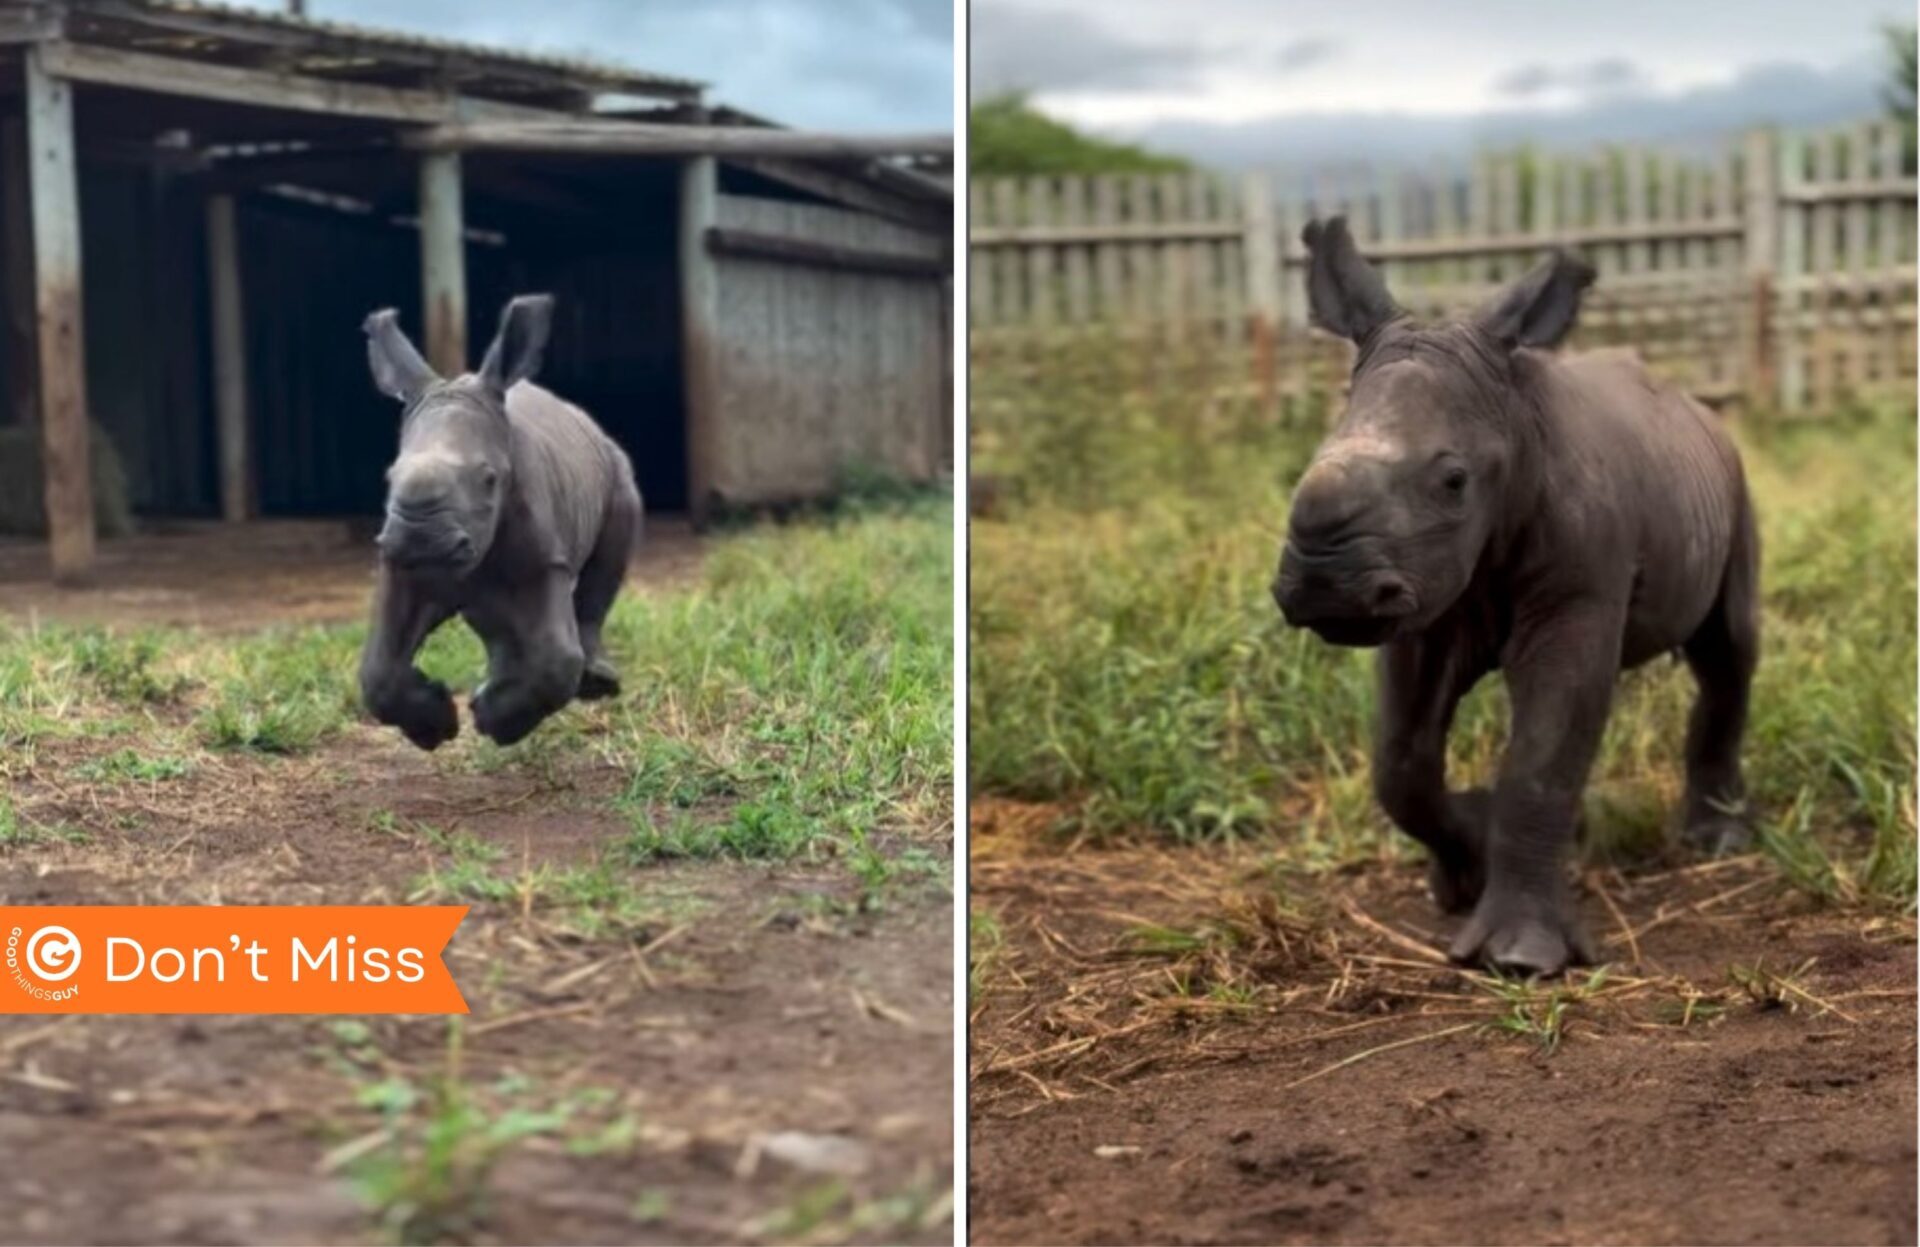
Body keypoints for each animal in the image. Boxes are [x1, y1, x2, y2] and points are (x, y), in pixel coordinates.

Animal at [357, 294, 643, 750]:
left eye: (490, 479)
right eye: (389, 477)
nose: (422, 540)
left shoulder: (546, 559)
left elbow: (555, 661)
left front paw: (495, 724)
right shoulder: (399, 567)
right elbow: (378, 672)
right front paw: (434, 728)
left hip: (616, 470)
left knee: (605, 567)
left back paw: (594, 684)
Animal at [1272, 218, 1759, 976]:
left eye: (1453, 481)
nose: (1327, 587)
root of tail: (1697, 406)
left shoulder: (1576, 598)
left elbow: (1540, 761)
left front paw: (1521, 959)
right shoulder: (1421, 607)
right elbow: (1400, 763)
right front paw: (1464, 865)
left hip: (1735, 484)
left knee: (1728, 648)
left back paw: (1717, 842)